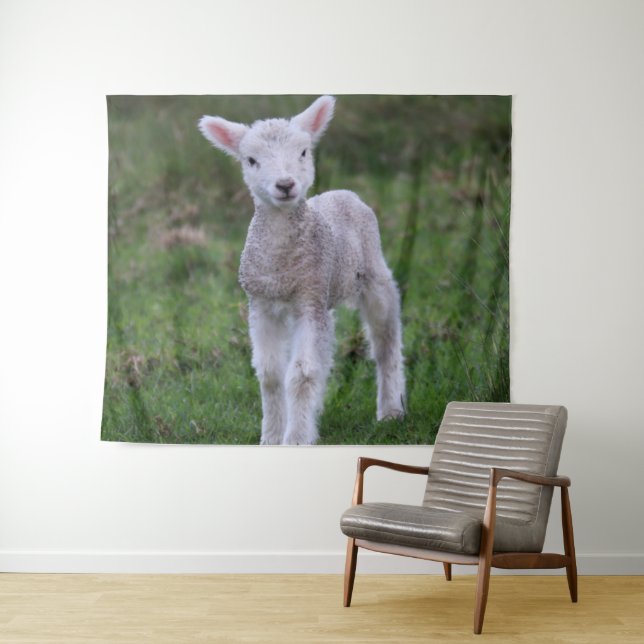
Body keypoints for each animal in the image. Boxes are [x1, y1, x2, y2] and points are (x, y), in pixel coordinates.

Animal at [198, 96, 405, 445]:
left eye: (304, 152)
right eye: (251, 160)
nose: (285, 184)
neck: (281, 264)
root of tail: (343, 192)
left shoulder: (308, 302)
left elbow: (302, 373)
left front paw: (295, 438)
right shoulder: (262, 305)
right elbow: (270, 374)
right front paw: (271, 437)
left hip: (373, 273)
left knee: (385, 340)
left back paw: (391, 410)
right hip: (325, 293)